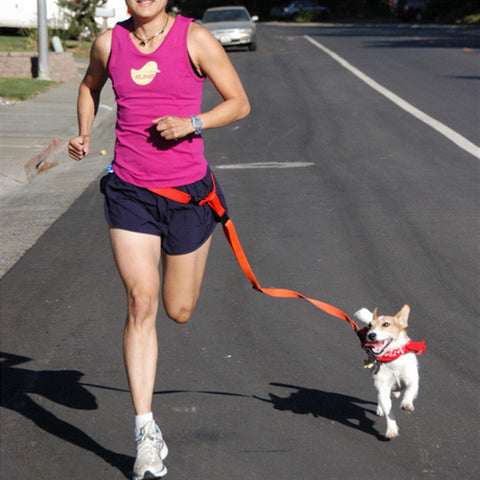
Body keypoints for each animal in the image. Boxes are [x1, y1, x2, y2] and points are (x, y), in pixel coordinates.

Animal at [352, 306, 428, 440]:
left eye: (386, 324)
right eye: (370, 325)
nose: (371, 335)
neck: (392, 359)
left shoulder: (412, 381)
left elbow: (409, 391)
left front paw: (406, 403)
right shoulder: (383, 389)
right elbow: (389, 412)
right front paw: (391, 429)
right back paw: (380, 409)